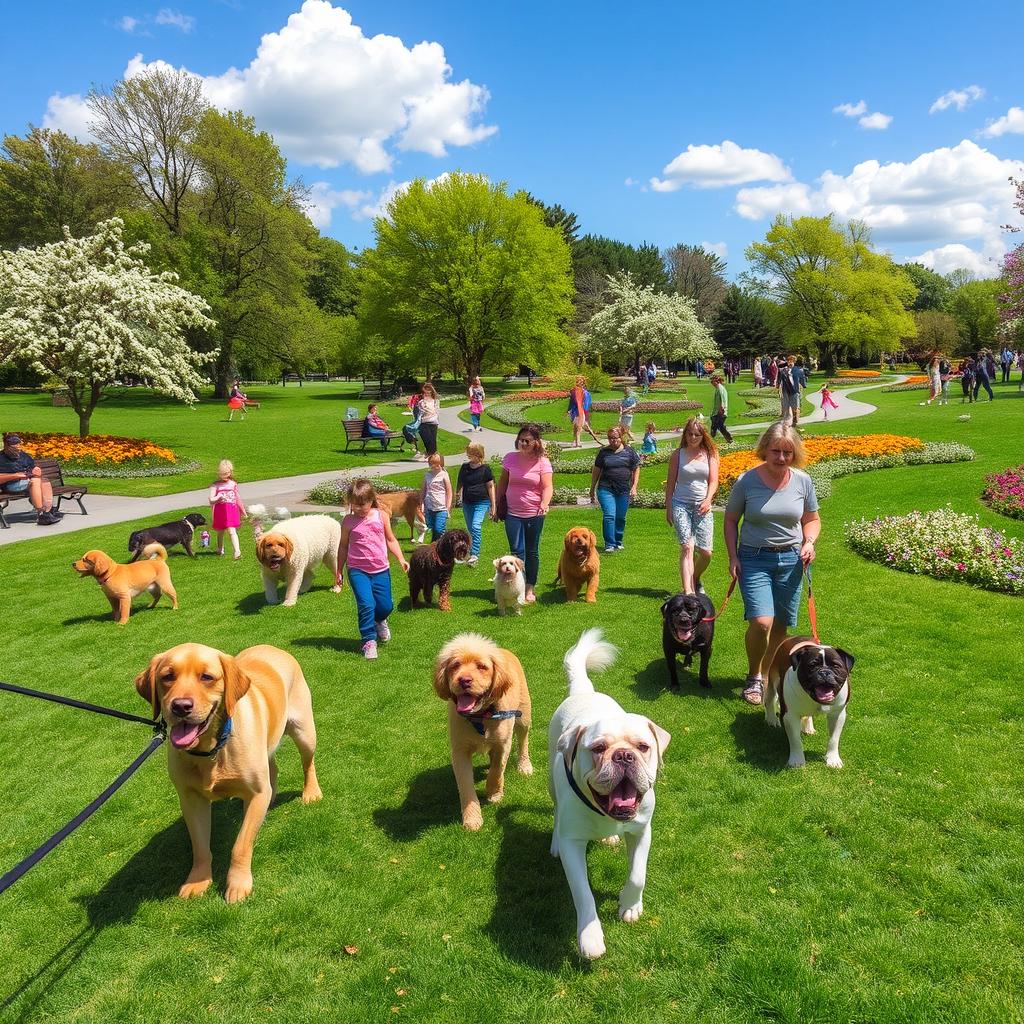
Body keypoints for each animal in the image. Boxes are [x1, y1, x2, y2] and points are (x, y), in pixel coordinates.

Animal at [134, 643, 321, 901]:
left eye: (207, 677)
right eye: (167, 676)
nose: (181, 706)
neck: (211, 750)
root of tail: (274, 647)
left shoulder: (256, 793)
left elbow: (240, 845)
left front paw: (238, 882)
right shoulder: (191, 799)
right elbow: (200, 846)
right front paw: (198, 880)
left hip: (304, 731)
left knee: (307, 763)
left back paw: (311, 792)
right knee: (272, 768)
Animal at [432, 630, 532, 831]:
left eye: (482, 667)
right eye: (455, 665)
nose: (464, 680)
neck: (480, 716)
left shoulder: (503, 743)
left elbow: (497, 769)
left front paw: (494, 792)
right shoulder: (459, 750)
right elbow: (465, 785)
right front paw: (472, 818)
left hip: (524, 715)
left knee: (523, 740)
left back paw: (524, 765)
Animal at [552, 626, 671, 954]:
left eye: (643, 747)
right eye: (598, 748)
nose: (623, 755)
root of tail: (582, 692)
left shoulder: (642, 830)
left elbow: (638, 874)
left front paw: (630, 905)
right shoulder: (573, 843)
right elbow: (583, 893)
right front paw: (590, 936)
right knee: (556, 811)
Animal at [765, 630, 851, 770]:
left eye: (836, 666)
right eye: (812, 666)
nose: (824, 672)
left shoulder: (838, 714)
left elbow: (834, 738)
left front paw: (832, 759)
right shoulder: (790, 716)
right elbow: (795, 739)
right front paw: (797, 760)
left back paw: (808, 727)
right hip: (772, 678)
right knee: (770, 698)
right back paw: (772, 719)